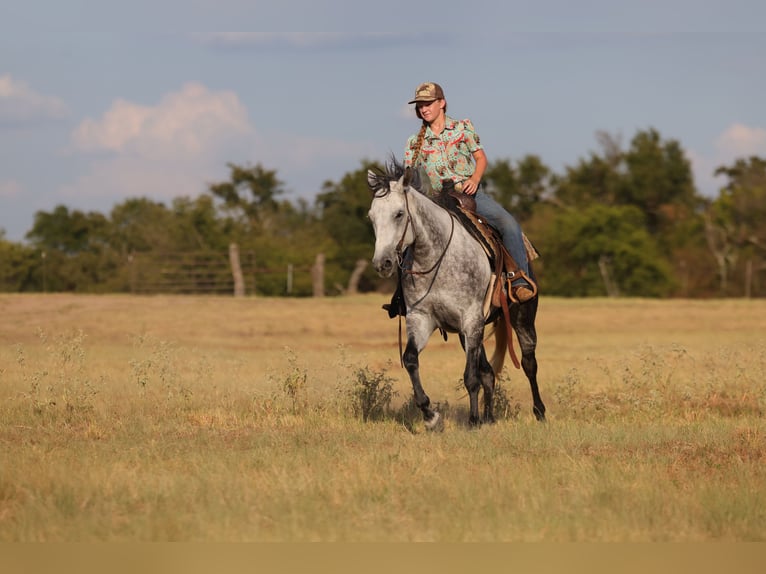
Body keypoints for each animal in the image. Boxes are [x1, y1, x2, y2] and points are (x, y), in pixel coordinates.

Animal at [367, 159, 546, 429]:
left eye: (399, 214)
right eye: (372, 217)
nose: (382, 264)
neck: (437, 257)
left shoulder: (471, 318)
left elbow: (470, 377)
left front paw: (472, 421)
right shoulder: (421, 319)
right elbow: (410, 359)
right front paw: (431, 416)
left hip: (521, 317)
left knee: (528, 363)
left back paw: (539, 412)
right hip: (469, 333)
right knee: (488, 372)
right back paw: (489, 417)